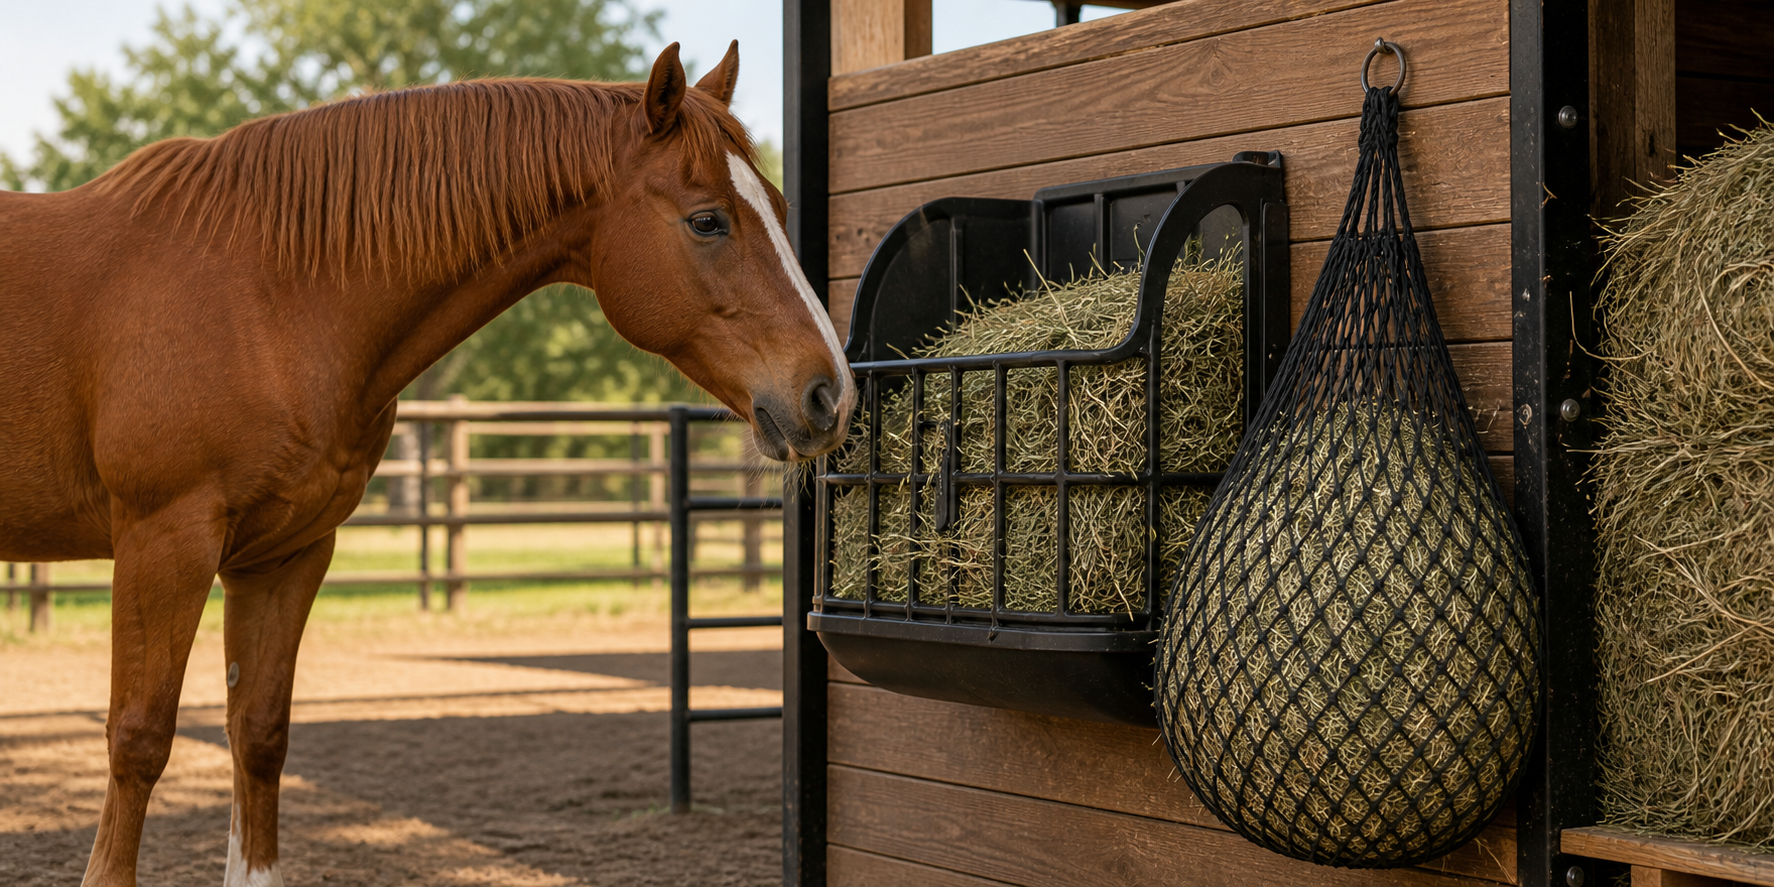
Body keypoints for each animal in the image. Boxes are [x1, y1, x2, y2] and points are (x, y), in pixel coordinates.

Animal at [0, 41, 851, 887]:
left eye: (779, 208)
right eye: (707, 219)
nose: (830, 393)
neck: (263, 293)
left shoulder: (284, 554)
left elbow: (260, 734)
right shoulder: (164, 541)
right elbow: (139, 740)